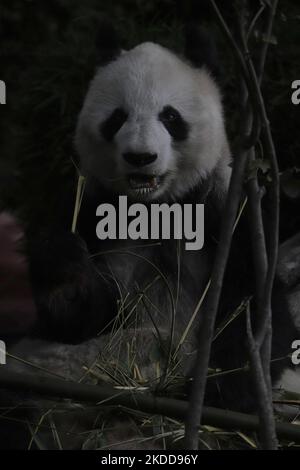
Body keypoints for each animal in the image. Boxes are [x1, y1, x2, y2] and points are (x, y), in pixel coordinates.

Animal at [0, 24, 298, 448]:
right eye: (117, 118)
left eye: (170, 116)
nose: (140, 157)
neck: (156, 209)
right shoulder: (95, 211)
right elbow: (79, 318)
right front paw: (65, 270)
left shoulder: (230, 211)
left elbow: (256, 310)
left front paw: (224, 397)